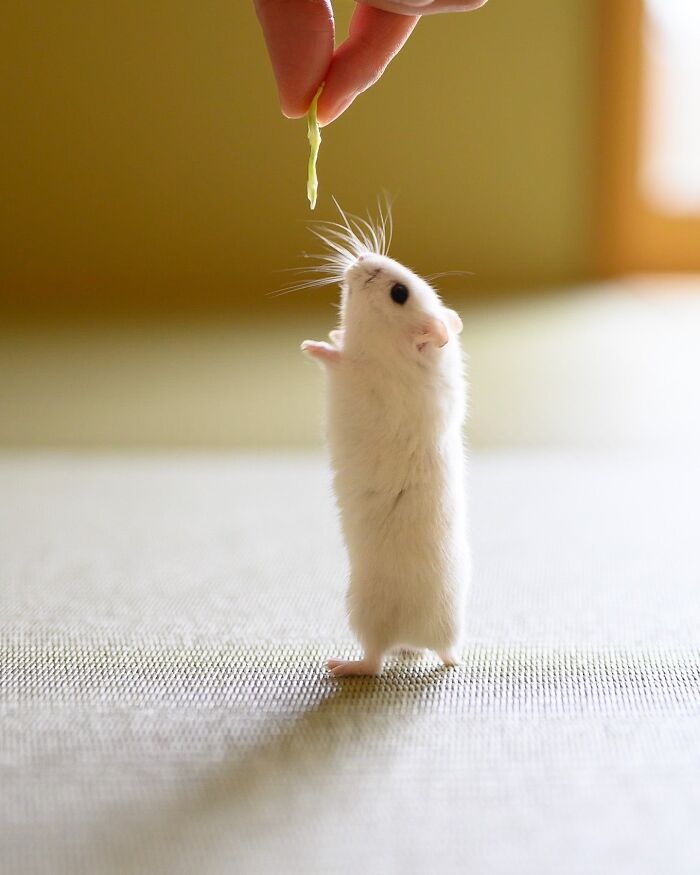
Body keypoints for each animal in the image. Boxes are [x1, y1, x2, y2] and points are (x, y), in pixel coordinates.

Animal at [300, 208, 470, 676]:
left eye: (398, 292)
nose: (361, 259)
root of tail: (440, 640)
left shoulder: (358, 377)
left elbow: (336, 360)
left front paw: (314, 344)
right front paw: (335, 334)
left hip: (363, 609)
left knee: (374, 661)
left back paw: (342, 666)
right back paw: (414, 652)